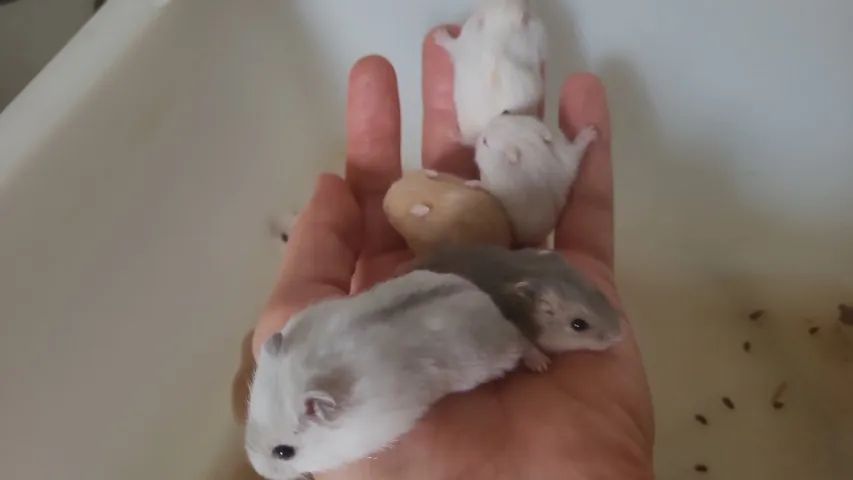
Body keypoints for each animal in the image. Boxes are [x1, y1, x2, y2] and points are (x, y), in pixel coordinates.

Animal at [473, 113, 597, 246]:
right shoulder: (564, 161)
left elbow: (488, 187)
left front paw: (473, 183)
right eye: (507, 113)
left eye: (485, 141)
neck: (530, 148)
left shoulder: (499, 185)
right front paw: (593, 131)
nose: (477, 137)